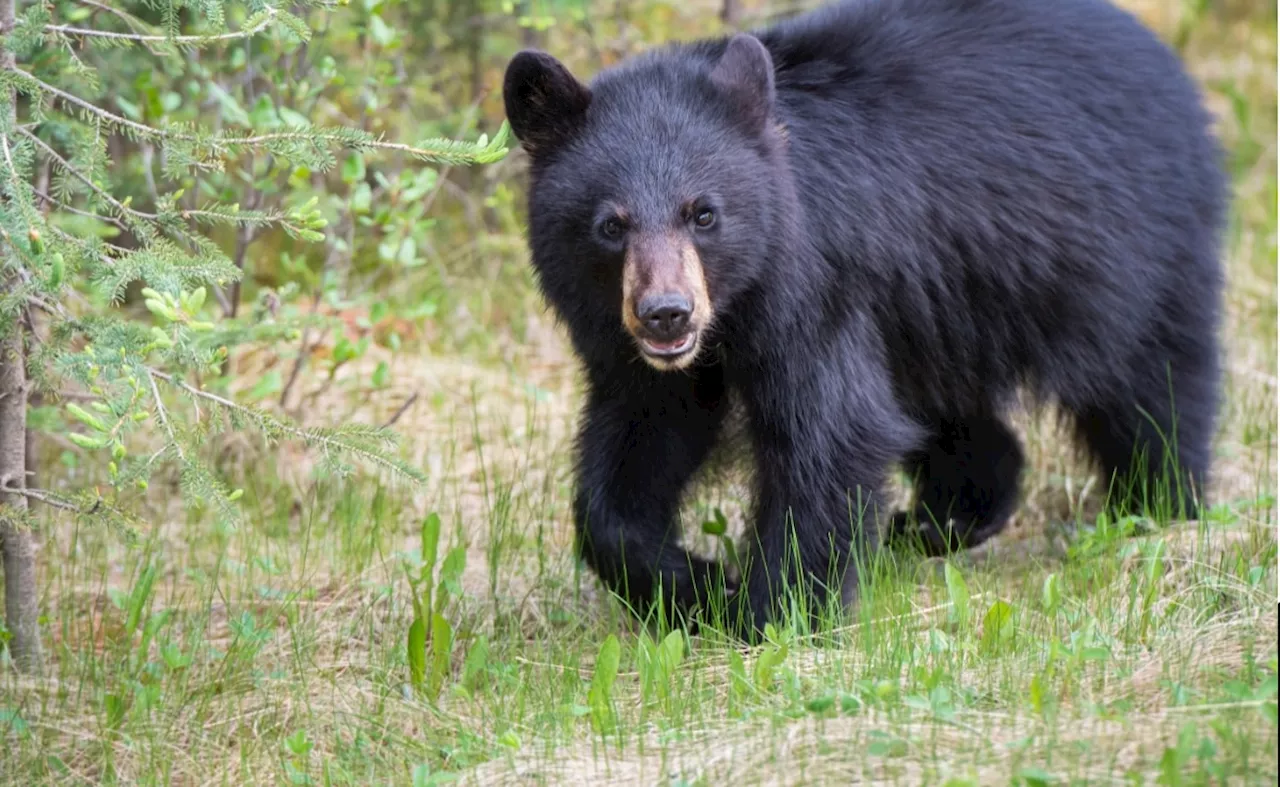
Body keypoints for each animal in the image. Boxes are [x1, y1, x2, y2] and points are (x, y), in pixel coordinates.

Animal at [496, 0, 1218, 639]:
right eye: (610, 225)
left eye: (703, 213)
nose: (667, 315)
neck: (733, 311)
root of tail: (1167, 61)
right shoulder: (639, 356)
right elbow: (637, 447)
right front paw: (692, 584)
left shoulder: (817, 288)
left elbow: (830, 434)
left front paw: (771, 612)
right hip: (942, 305)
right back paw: (945, 519)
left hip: (1131, 252)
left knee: (1152, 381)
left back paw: (1157, 503)